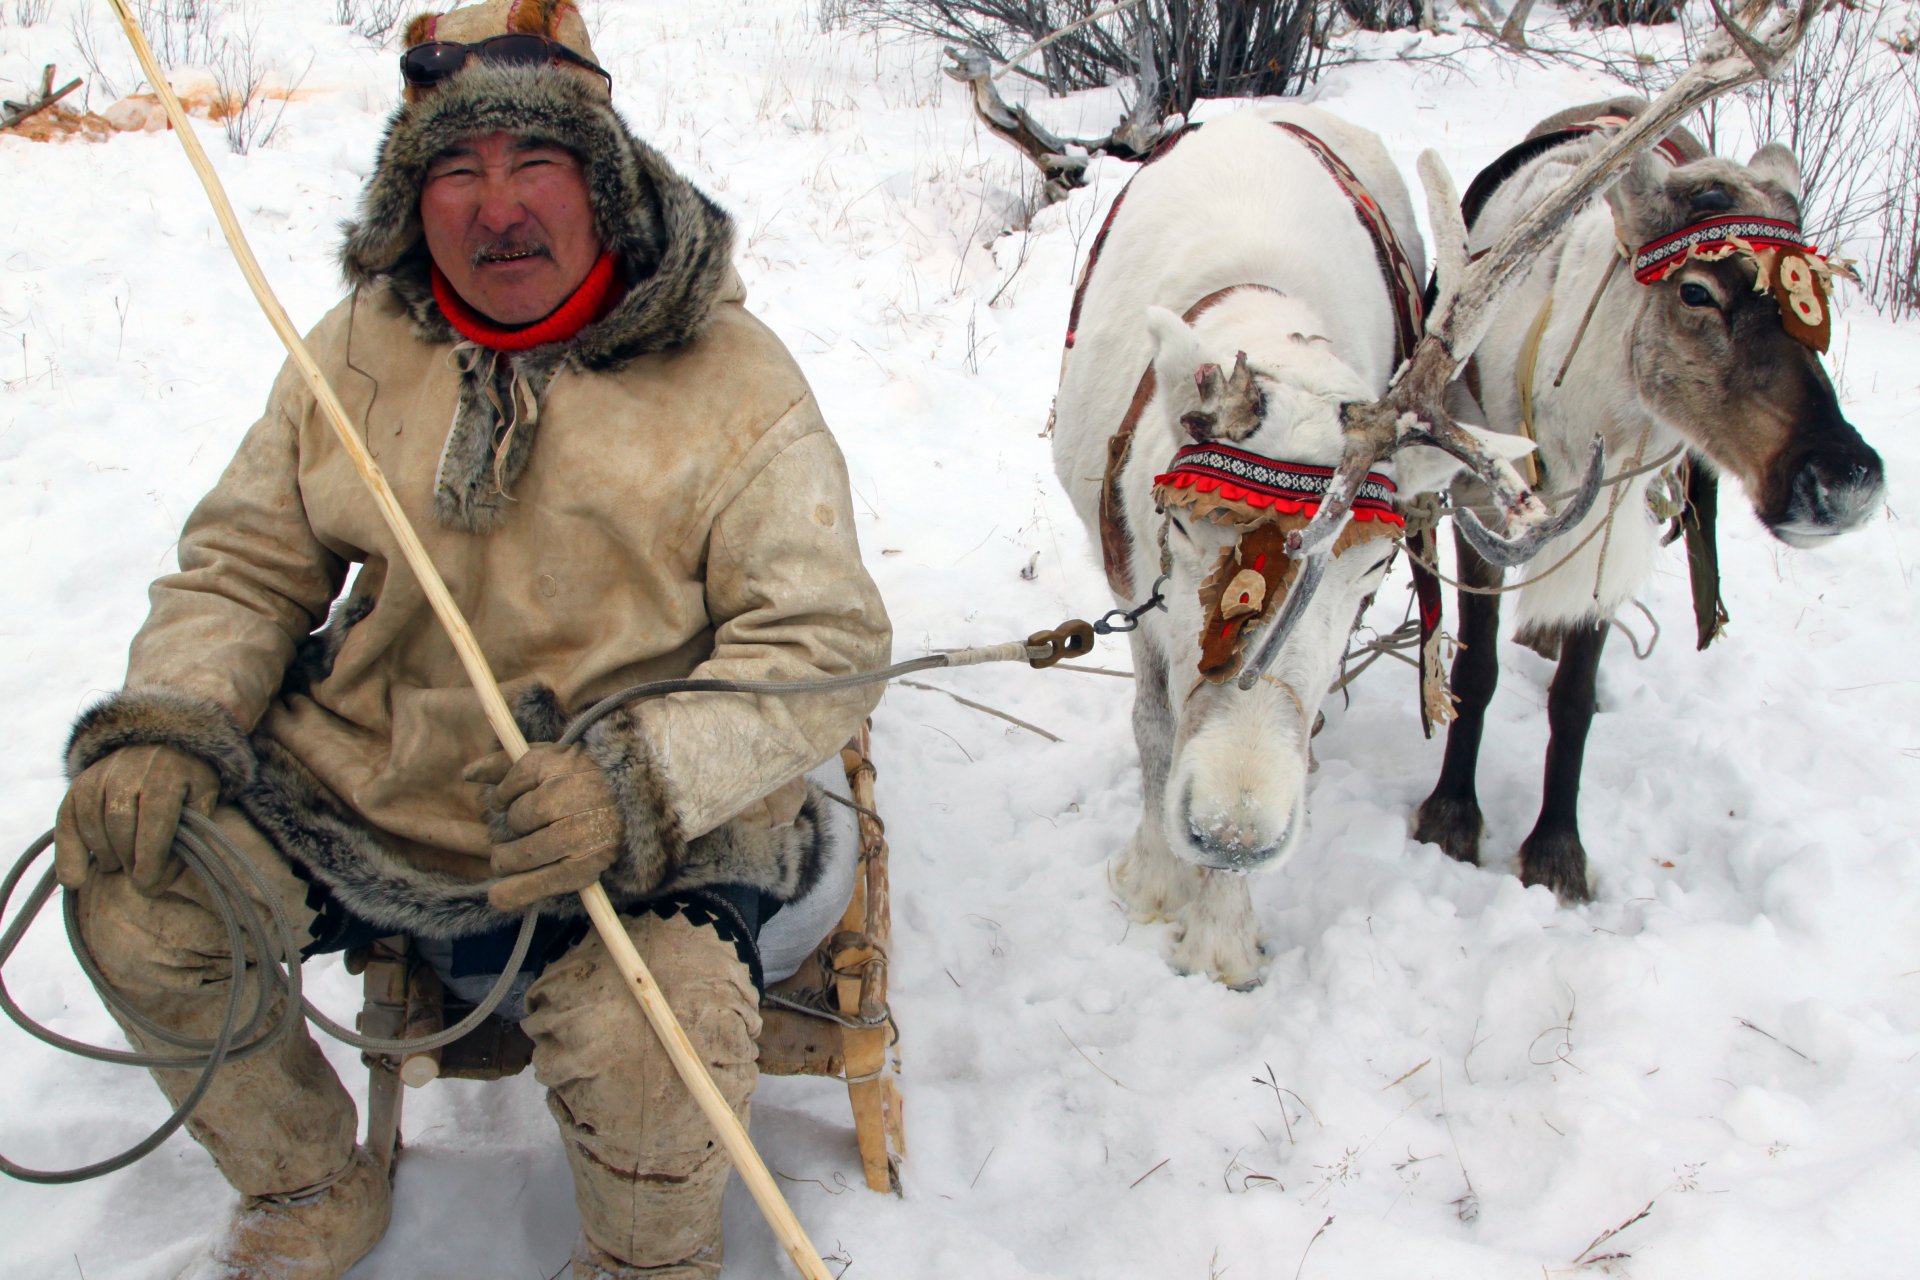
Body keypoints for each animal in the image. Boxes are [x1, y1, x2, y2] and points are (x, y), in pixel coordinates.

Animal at [1412, 93, 1886, 903]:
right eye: (1696, 291)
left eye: (1817, 296)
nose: (1844, 478)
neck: (1570, 424)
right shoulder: (1478, 500)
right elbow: (1475, 670)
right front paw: (1452, 816)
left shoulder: (1613, 520)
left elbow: (1572, 697)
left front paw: (1556, 850)